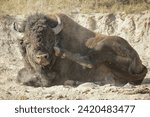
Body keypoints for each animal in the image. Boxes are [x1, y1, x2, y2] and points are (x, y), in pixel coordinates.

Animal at [13, 13, 147, 87]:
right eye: (27, 42)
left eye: (50, 39)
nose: (42, 57)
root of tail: (138, 59)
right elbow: (19, 75)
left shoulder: (57, 76)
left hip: (104, 45)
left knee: (89, 61)